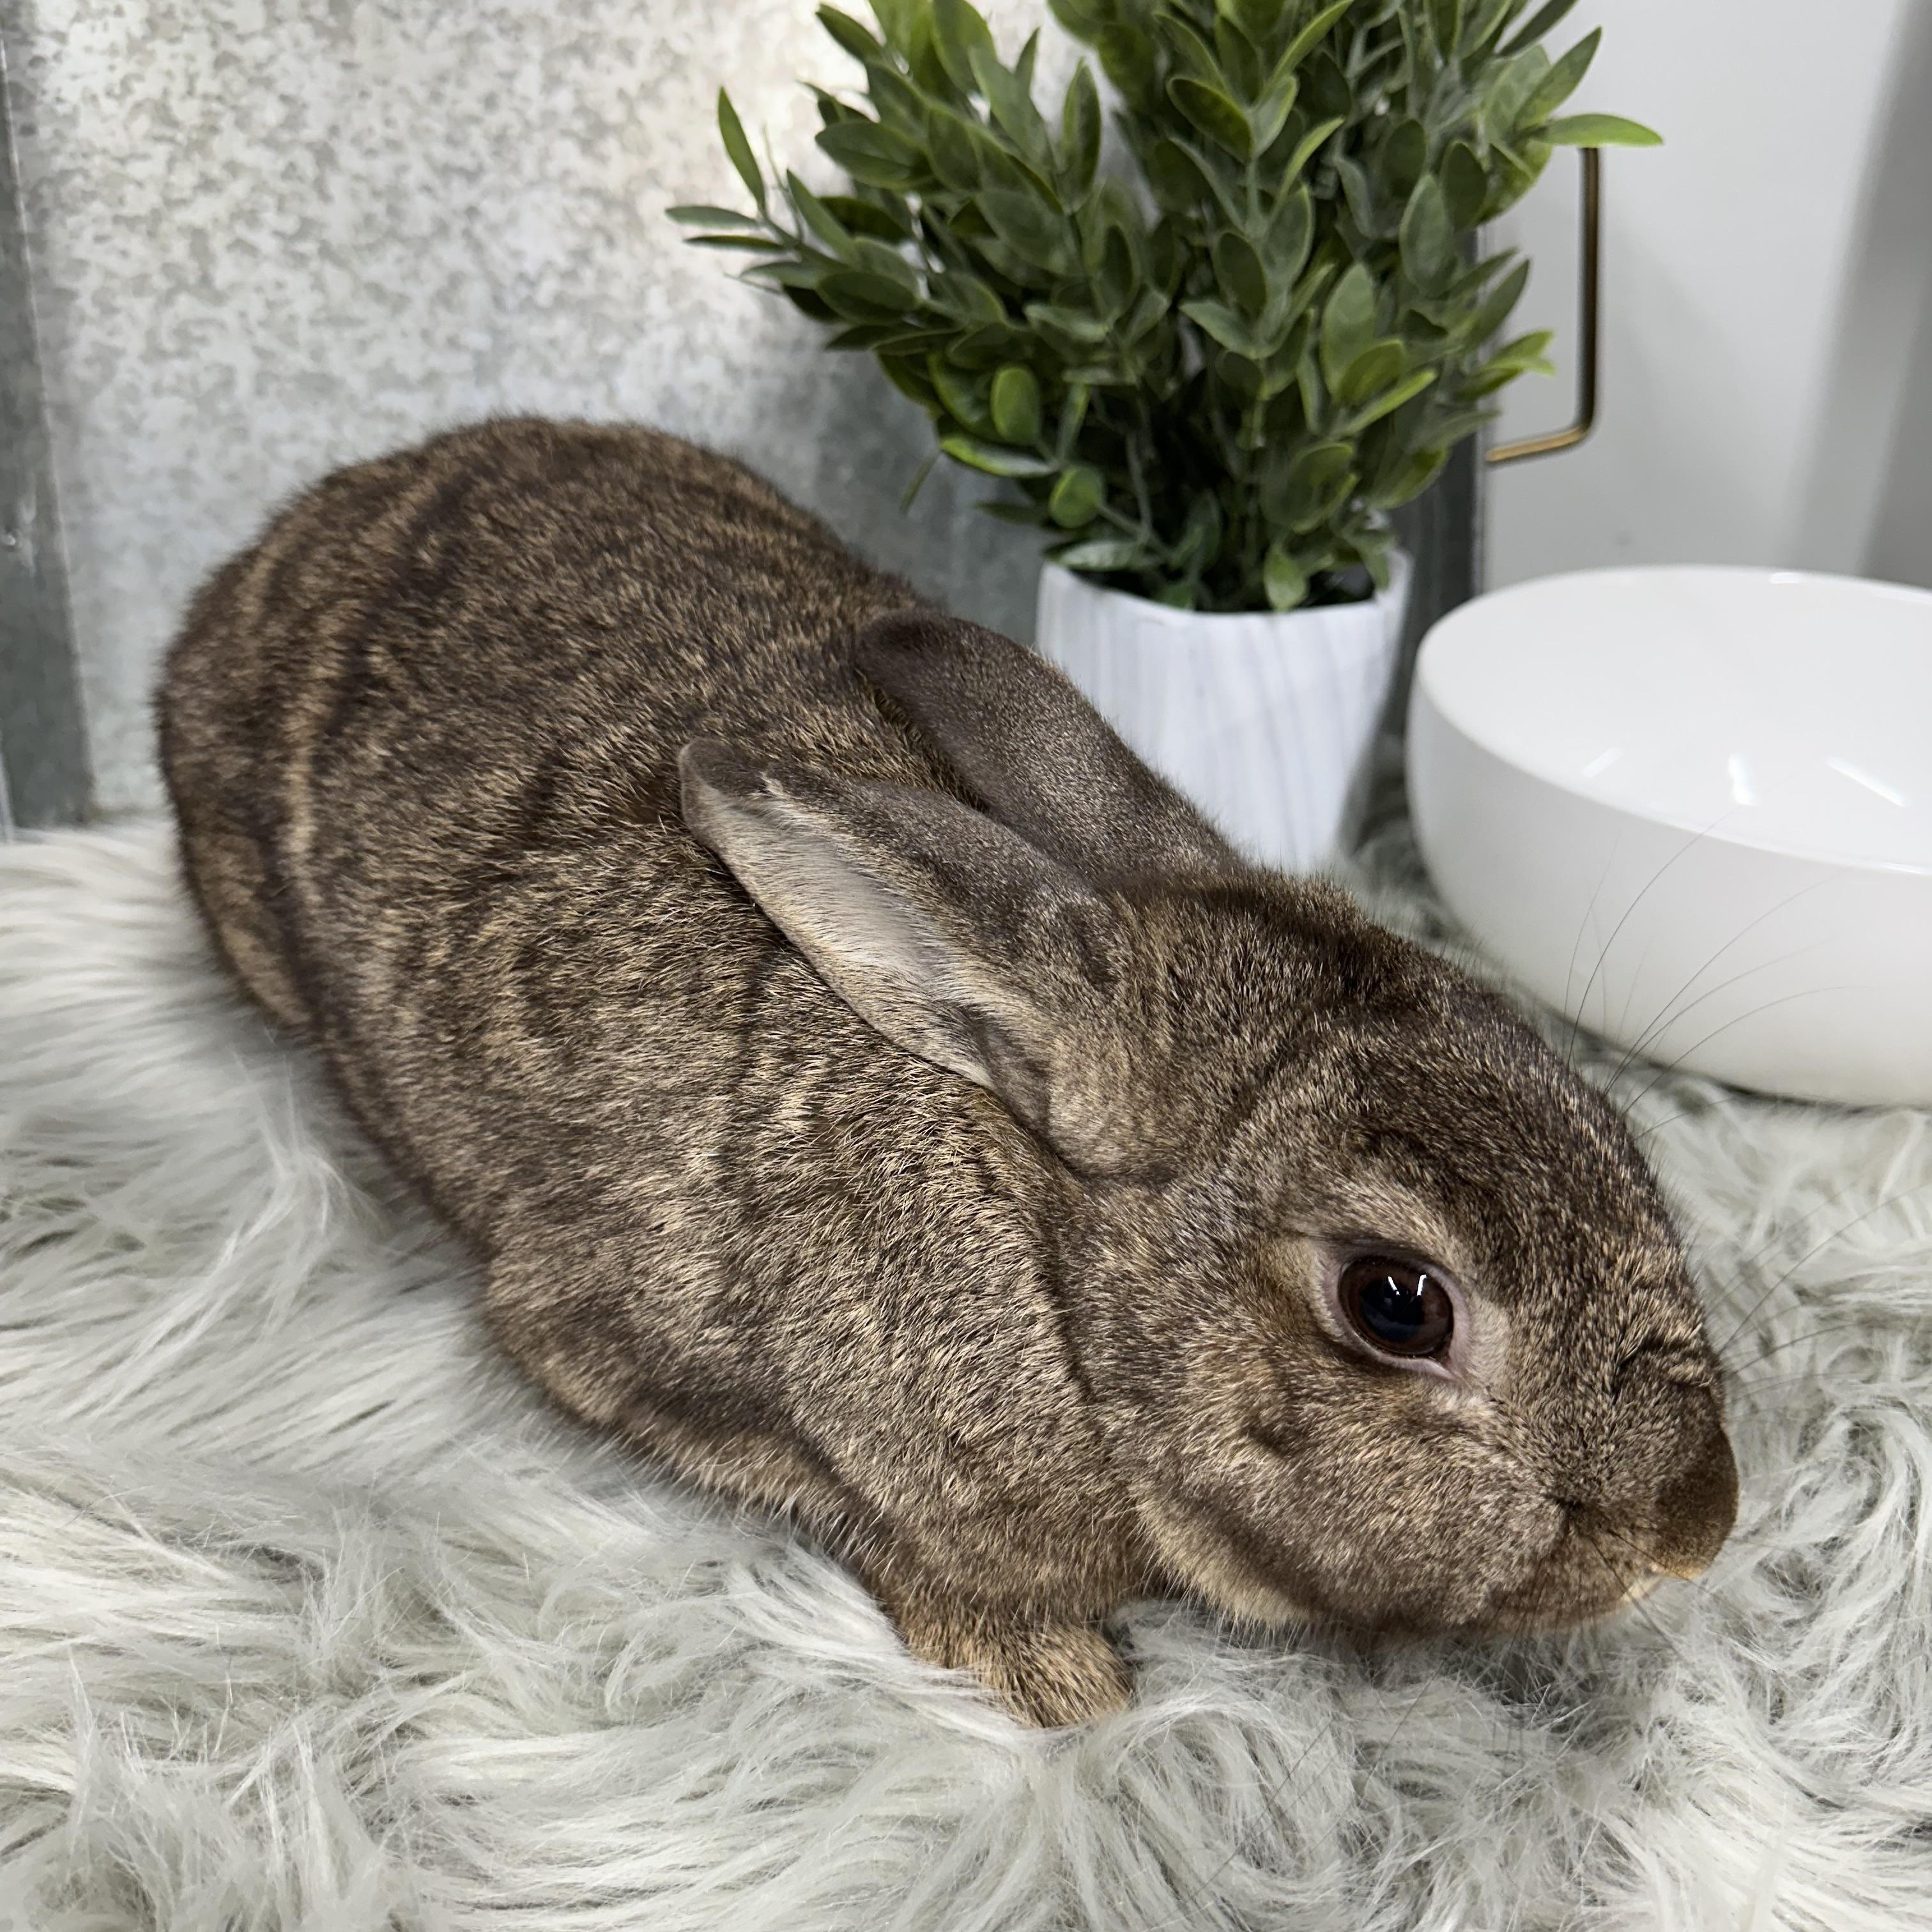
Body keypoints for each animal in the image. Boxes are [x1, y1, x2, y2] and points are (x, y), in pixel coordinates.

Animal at [157, 416, 1737, 1728]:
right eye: (1397, 1303)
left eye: (1607, 1124)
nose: (1697, 1528)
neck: (1051, 1268)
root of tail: (289, 540)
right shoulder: (624, 1349)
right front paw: (1057, 1681)